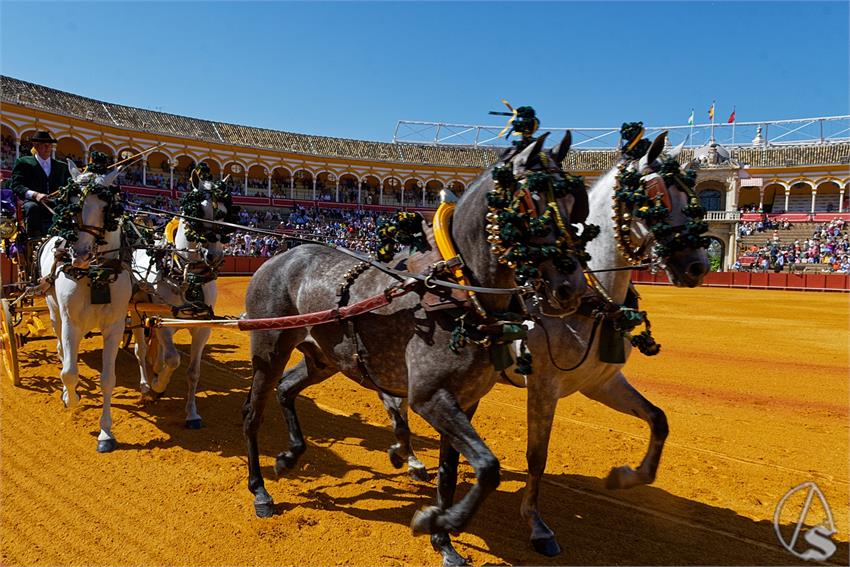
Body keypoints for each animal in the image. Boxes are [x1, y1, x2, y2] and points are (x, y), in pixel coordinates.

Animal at [39, 162, 132, 454]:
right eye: (70, 202)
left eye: (105, 206)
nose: (78, 254)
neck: (96, 273)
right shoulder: (72, 322)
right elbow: (69, 372)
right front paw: (72, 399)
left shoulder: (114, 326)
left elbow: (108, 379)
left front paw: (106, 432)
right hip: (54, 311)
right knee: (61, 349)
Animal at [129, 184, 225, 428]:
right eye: (196, 214)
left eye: (224, 215)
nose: (214, 255)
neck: (187, 276)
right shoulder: (164, 323)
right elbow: (173, 359)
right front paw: (158, 387)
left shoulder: (203, 327)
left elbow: (193, 372)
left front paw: (192, 413)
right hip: (135, 310)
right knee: (140, 350)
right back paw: (146, 385)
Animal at [237, 132, 584, 560]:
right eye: (534, 202)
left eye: (573, 204)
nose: (571, 288)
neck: (457, 289)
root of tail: (279, 256)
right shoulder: (429, 396)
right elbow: (488, 467)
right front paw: (436, 520)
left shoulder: (465, 400)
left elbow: (451, 472)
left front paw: (443, 539)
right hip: (268, 350)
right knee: (253, 413)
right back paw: (260, 490)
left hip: (323, 358)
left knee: (286, 390)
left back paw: (288, 457)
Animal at [516, 131, 708, 556]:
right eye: (654, 200)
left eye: (693, 199)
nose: (698, 266)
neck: (593, 294)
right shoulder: (543, 385)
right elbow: (537, 455)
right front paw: (537, 526)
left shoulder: (599, 383)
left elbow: (658, 419)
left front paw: (624, 477)